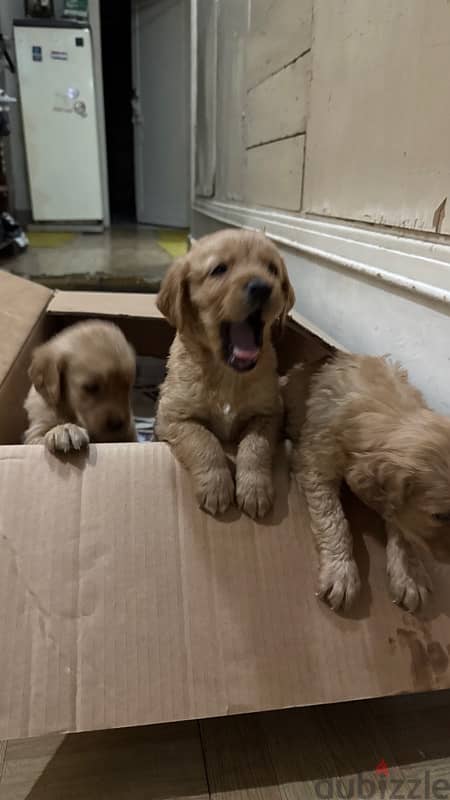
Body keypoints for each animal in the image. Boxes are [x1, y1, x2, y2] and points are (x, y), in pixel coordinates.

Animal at [24, 320, 136, 456]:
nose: (117, 425)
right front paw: (64, 430)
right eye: (91, 387)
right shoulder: (35, 432)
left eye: (127, 386)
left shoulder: (131, 434)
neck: (68, 410)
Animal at [155, 230, 296, 520]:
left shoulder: (270, 412)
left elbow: (256, 446)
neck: (227, 374)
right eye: (219, 269)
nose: (262, 287)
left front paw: (254, 489)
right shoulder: (172, 416)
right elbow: (203, 440)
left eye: (272, 269)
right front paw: (216, 486)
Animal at [284, 352, 450, 612]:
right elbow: (334, 520)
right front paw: (341, 573)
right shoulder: (315, 464)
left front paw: (410, 574)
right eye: (440, 516)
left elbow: (404, 531)